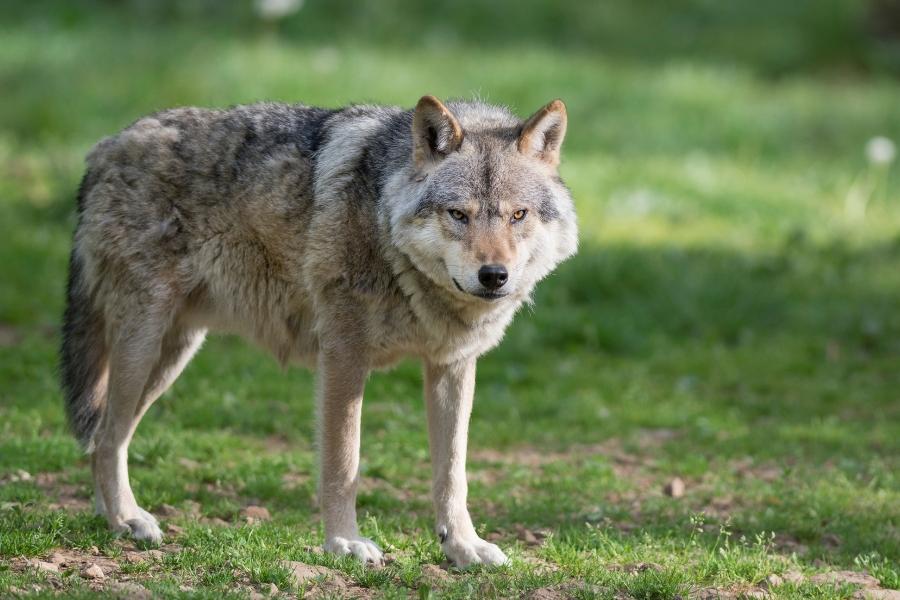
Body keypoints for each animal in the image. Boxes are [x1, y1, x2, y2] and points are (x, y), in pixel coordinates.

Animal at [60, 95, 577, 567]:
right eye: (458, 214)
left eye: (518, 215)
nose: (494, 276)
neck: (384, 228)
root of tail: (105, 147)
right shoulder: (343, 356)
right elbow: (343, 463)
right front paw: (344, 543)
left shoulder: (451, 365)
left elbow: (453, 473)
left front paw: (464, 547)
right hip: (144, 346)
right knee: (106, 437)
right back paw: (127, 519)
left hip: (172, 355)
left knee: (105, 436)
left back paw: (112, 518)